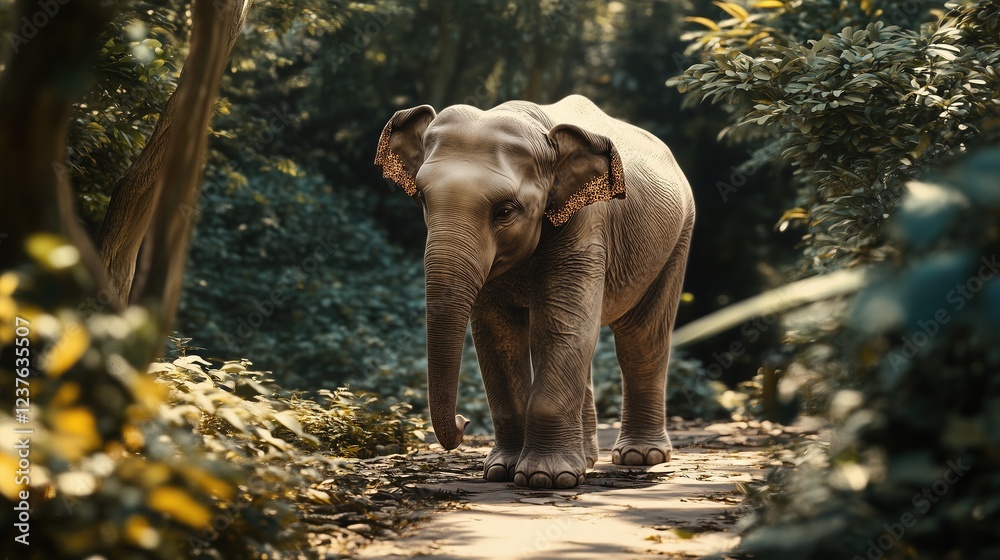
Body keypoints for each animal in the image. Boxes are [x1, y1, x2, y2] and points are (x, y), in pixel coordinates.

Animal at [374, 94, 695, 489]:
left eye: (505, 211)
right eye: (421, 199)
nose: (464, 422)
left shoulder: (584, 222)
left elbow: (560, 327)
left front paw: (546, 478)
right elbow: (498, 336)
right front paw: (501, 471)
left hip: (677, 240)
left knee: (641, 339)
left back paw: (641, 456)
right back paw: (588, 459)